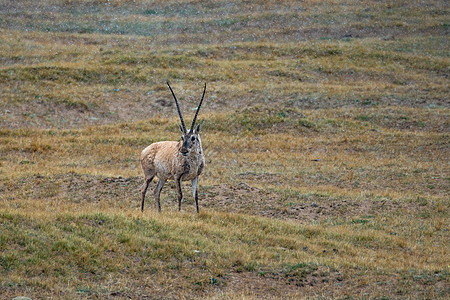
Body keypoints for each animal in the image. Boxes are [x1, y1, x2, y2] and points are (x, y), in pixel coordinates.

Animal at [140, 82, 207, 213]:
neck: (193, 161)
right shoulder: (177, 177)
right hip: (149, 175)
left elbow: (195, 195)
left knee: (156, 191)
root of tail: (145, 150)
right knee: (143, 190)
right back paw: (142, 210)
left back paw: (159, 212)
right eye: (182, 137)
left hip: (162, 178)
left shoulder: (195, 176)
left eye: (193, 137)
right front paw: (179, 212)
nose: (184, 150)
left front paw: (197, 213)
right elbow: (180, 195)